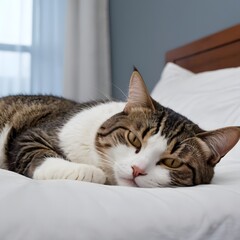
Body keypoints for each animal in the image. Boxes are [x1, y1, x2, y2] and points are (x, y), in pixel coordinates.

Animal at [0, 69, 239, 188]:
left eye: (172, 162)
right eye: (134, 139)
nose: (137, 170)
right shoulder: (31, 134)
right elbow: (38, 153)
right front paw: (89, 171)